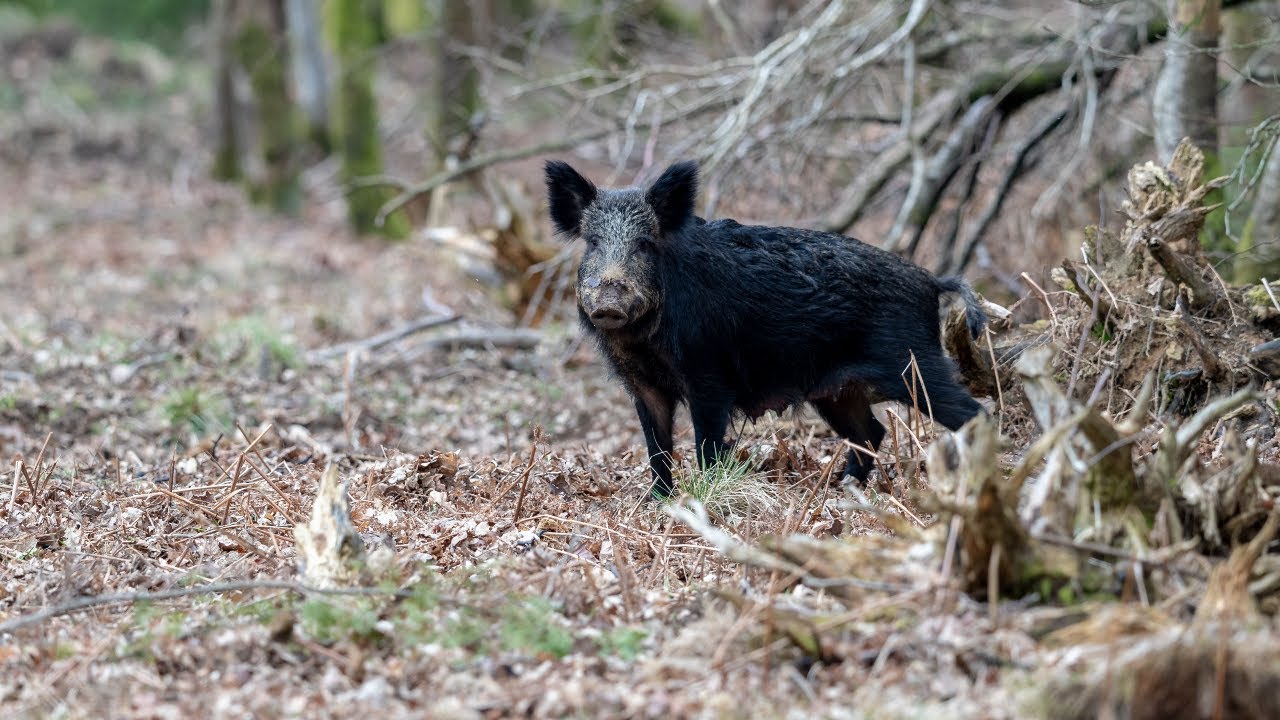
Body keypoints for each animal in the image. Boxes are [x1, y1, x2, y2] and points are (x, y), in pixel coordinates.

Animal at [545, 159, 987, 498]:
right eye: (592, 242)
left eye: (644, 244)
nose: (608, 299)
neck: (643, 343)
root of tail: (931, 282)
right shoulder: (643, 386)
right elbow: (657, 449)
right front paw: (659, 502)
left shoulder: (709, 377)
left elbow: (706, 446)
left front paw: (704, 498)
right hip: (837, 391)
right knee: (871, 432)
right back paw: (841, 491)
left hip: (913, 365)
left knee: (972, 413)